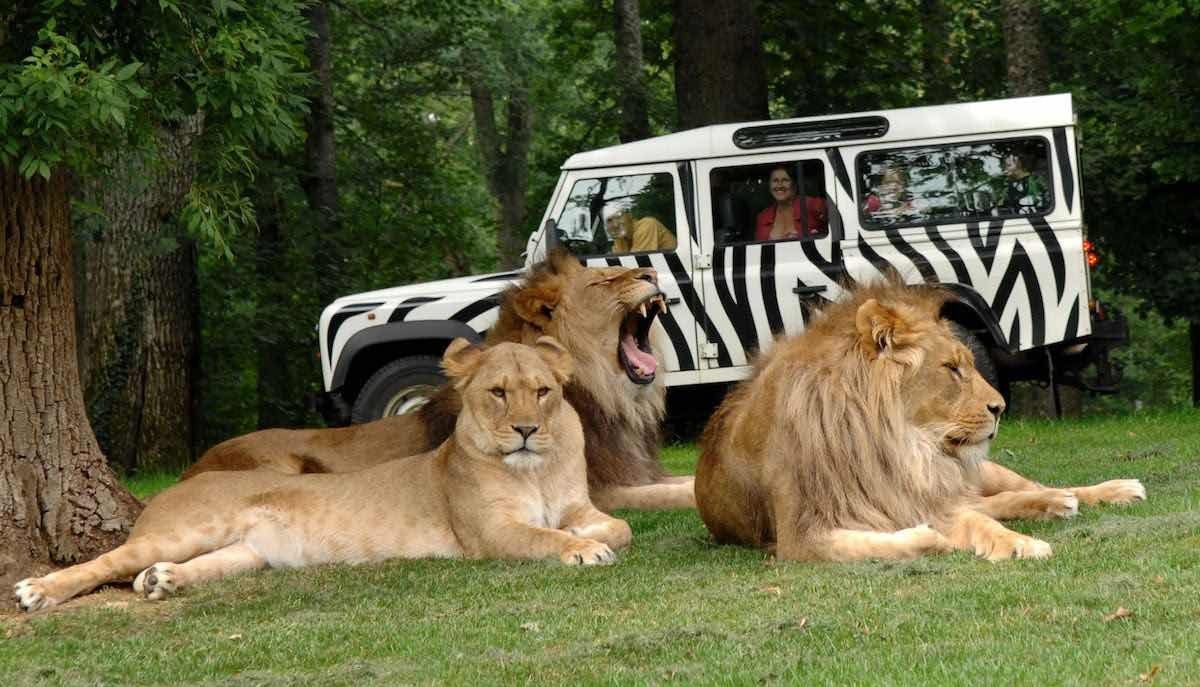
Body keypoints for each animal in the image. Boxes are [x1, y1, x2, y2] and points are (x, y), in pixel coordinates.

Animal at [14, 338, 632, 611]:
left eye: (543, 391)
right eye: (498, 393)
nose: (526, 429)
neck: (535, 471)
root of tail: (182, 482)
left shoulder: (578, 503)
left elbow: (618, 526)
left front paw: (591, 536)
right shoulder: (488, 534)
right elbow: (541, 537)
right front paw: (580, 549)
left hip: (247, 554)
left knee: (181, 568)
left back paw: (162, 582)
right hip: (188, 529)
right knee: (104, 563)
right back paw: (37, 592)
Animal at [182, 251, 693, 511]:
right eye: (604, 281)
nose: (652, 271)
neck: (617, 399)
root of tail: (192, 466)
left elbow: (687, 479)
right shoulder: (600, 490)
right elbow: (681, 493)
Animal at [694, 280, 1145, 562]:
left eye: (968, 363)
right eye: (951, 368)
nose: (999, 407)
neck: (892, 446)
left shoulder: (917, 492)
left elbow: (980, 521)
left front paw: (1021, 544)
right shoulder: (799, 536)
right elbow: (880, 543)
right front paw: (931, 538)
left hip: (981, 470)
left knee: (1021, 489)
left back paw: (1103, 491)